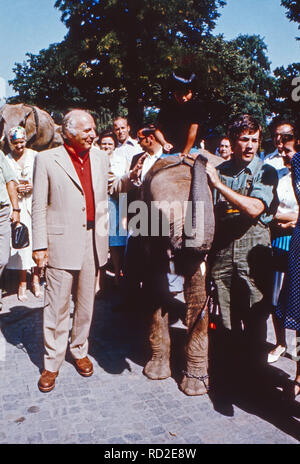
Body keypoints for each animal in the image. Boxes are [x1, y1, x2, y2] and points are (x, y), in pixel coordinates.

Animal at [139, 152, 221, 396]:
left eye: (213, 206)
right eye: (160, 215)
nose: (201, 156)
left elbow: (197, 290)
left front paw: (195, 389)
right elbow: (155, 287)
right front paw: (155, 375)